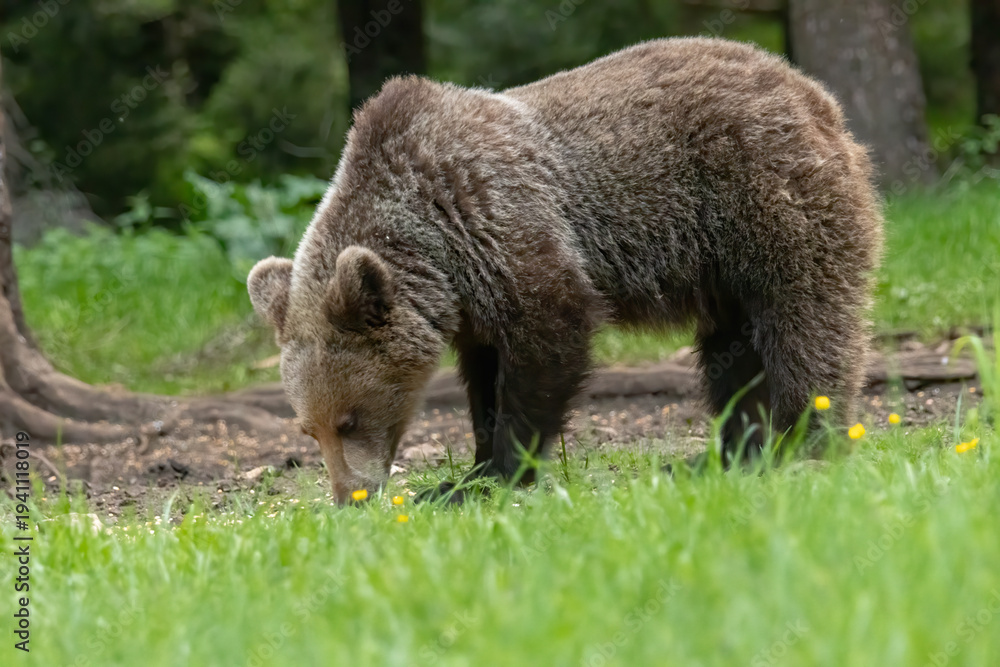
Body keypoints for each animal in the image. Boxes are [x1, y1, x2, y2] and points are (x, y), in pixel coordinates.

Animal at [248, 37, 883, 503]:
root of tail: (813, 94)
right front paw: (470, 469)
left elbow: (549, 340)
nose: (348, 497)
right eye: (309, 429)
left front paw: (491, 476)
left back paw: (805, 442)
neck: (435, 247)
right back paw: (723, 456)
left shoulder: (504, 224)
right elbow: (485, 375)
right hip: (722, 267)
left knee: (804, 324)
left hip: (767, 204)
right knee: (733, 353)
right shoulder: (472, 301)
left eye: (349, 420)